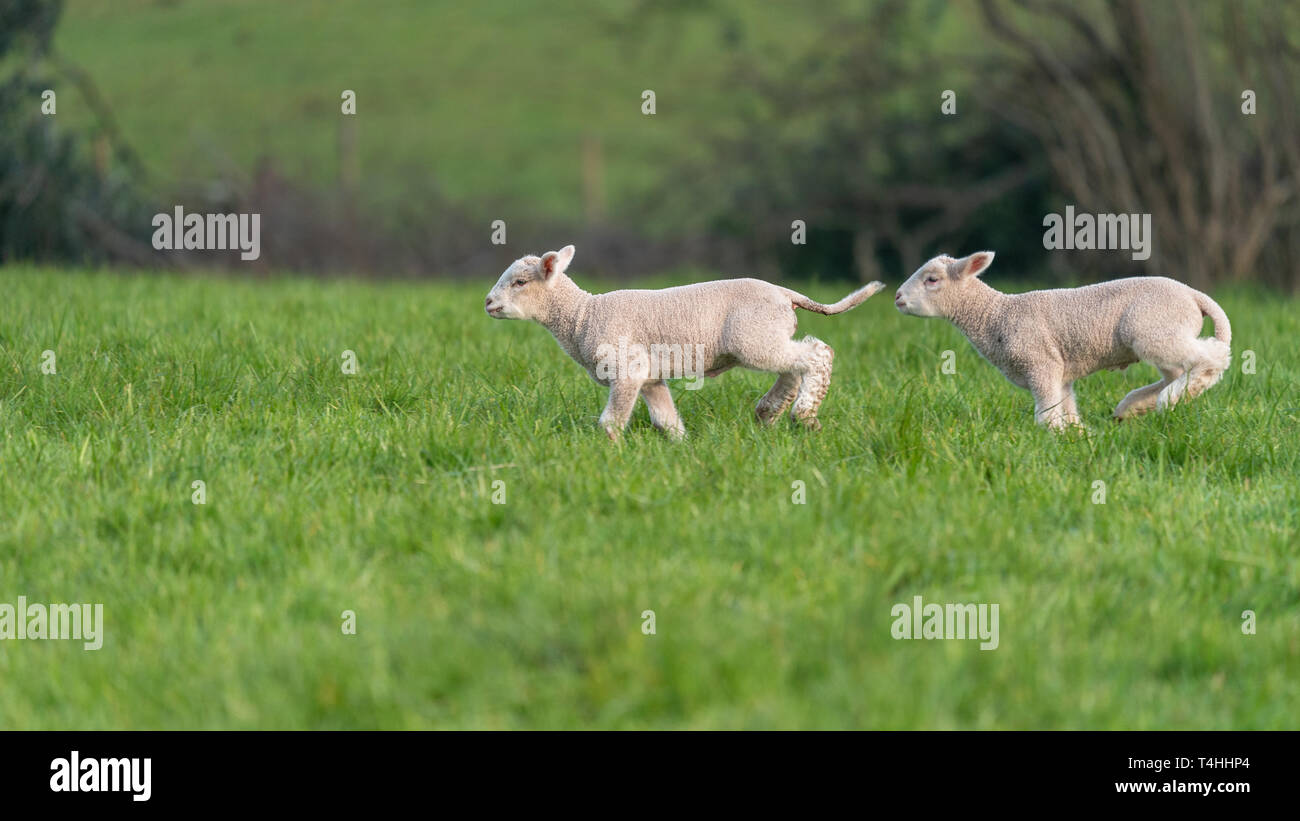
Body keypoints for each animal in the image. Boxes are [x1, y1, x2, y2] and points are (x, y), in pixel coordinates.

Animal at [484, 245, 886, 439]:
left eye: (519, 282)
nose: (487, 302)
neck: (583, 315)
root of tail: (786, 293)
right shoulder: (649, 377)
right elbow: (666, 420)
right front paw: (683, 450)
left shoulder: (628, 368)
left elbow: (611, 421)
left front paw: (612, 453)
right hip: (768, 337)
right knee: (793, 367)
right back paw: (769, 413)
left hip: (755, 339)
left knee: (818, 353)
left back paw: (805, 415)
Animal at [893, 251, 1231, 429]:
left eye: (932, 280)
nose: (897, 297)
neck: (996, 315)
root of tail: (1193, 294)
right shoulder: (1060, 372)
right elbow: (1065, 407)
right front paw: (1078, 435)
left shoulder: (1041, 363)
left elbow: (1046, 412)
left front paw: (1054, 436)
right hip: (1164, 334)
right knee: (1176, 371)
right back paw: (1137, 406)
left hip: (1155, 331)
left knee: (1212, 357)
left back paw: (1172, 398)